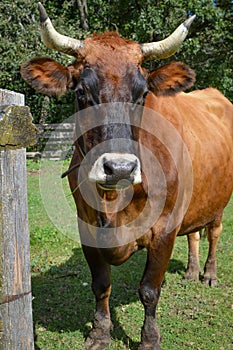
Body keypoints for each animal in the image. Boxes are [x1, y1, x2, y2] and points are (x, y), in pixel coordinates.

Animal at [21, 3, 233, 350]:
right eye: (81, 92)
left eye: (143, 93)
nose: (119, 168)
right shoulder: (87, 226)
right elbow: (100, 284)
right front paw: (100, 331)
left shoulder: (165, 228)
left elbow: (149, 289)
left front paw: (149, 339)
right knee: (194, 234)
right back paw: (190, 271)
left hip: (219, 199)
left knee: (213, 232)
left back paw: (208, 274)